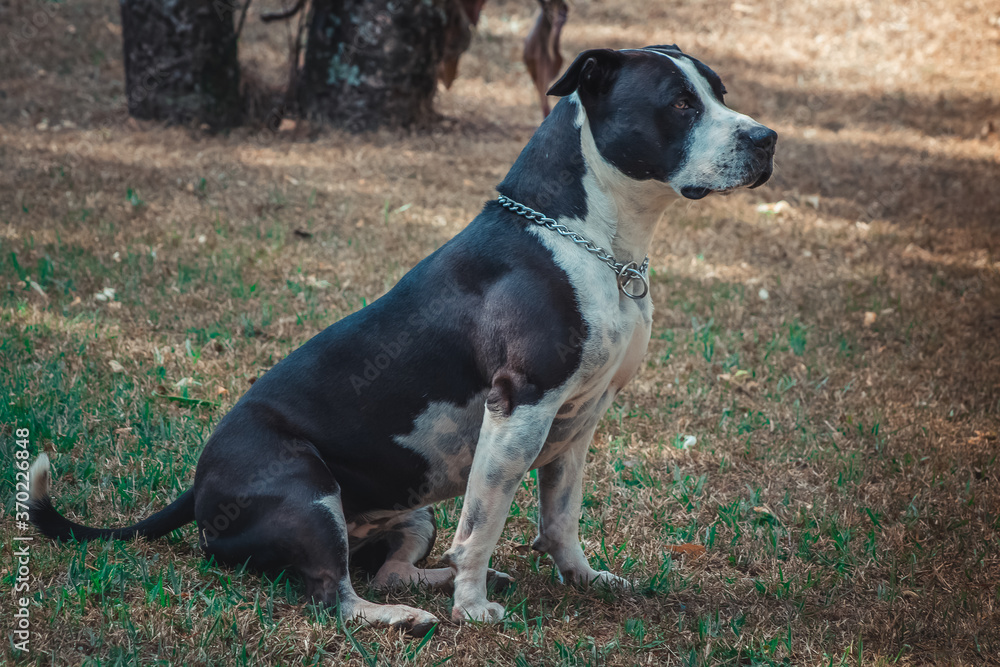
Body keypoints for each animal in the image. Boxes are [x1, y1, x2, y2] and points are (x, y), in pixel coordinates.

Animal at [29, 45, 772, 636]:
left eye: (720, 93)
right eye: (679, 103)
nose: (766, 138)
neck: (594, 240)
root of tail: (199, 483)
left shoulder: (577, 421)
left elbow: (559, 516)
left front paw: (581, 579)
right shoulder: (519, 408)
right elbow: (484, 524)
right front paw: (472, 608)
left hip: (408, 514)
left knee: (385, 569)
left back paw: (433, 585)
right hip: (308, 495)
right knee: (332, 593)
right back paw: (411, 615)